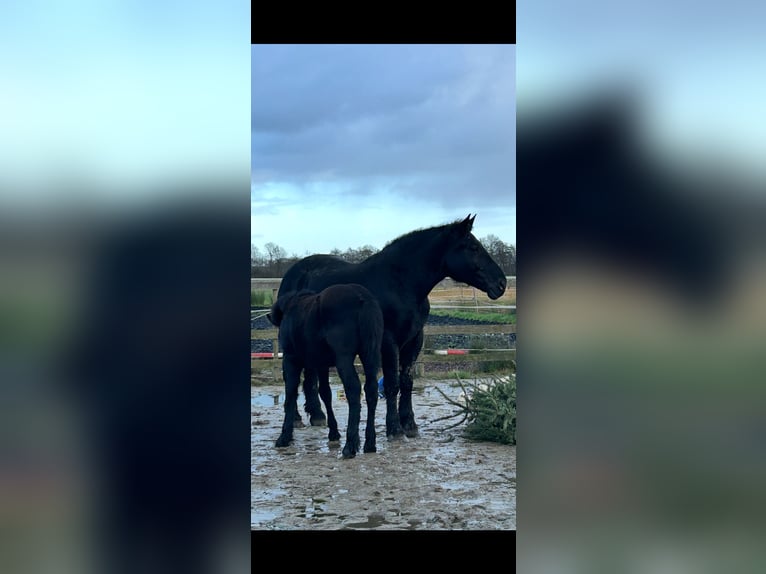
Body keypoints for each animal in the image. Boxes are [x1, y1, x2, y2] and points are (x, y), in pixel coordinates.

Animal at [268, 284, 384, 460]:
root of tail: (362, 297)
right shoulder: (321, 364)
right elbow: (325, 393)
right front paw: (333, 432)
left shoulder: (290, 359)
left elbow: (290, 394)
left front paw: (284, 437)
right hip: (369, 356)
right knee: (371, 391)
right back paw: (369, 444)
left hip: (344, 359)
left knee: (353, 390)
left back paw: (350, 446)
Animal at [280, 216, 508, 440]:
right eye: (473, 247)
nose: (502, 283)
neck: (400, 283)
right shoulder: (388, 341)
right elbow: (392, 383)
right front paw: (395, 428)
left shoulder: (414, 340)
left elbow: (406, 381)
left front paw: (410, 424)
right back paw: (298, 418)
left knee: (309, 377)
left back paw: (316, 415)